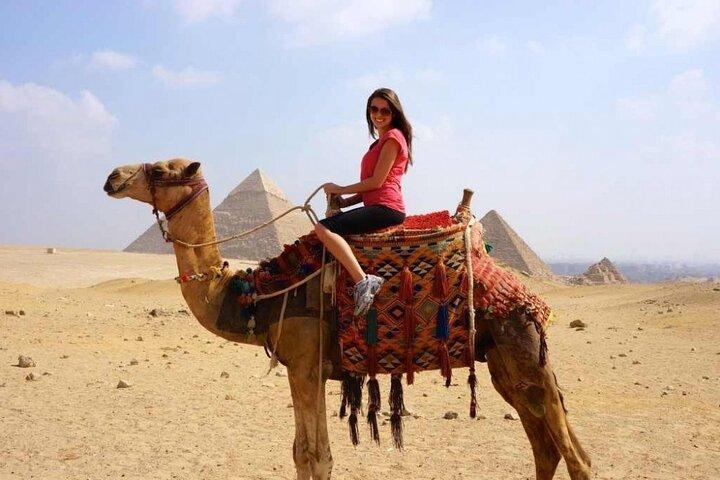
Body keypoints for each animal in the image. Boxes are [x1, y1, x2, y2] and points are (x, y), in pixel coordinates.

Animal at [103, 158, 593, 480]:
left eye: (161, 169)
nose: (113, 177)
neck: (260, 294)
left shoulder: (304, 364)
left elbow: (315, 456)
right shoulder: (308, 369)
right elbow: (303, 452)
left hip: (522, 349)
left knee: (575, 457)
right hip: (505, 366)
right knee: (548, 448)